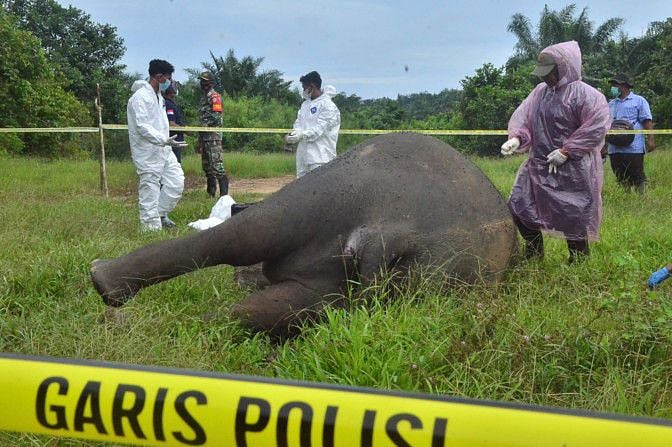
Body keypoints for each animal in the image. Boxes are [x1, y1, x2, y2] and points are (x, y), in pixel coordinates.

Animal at [91, 133, 517, 336]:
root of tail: (393, 230)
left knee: (255, 274)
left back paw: (111, 301)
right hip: (343, 194)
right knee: (253, 242)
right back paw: (109, 296)